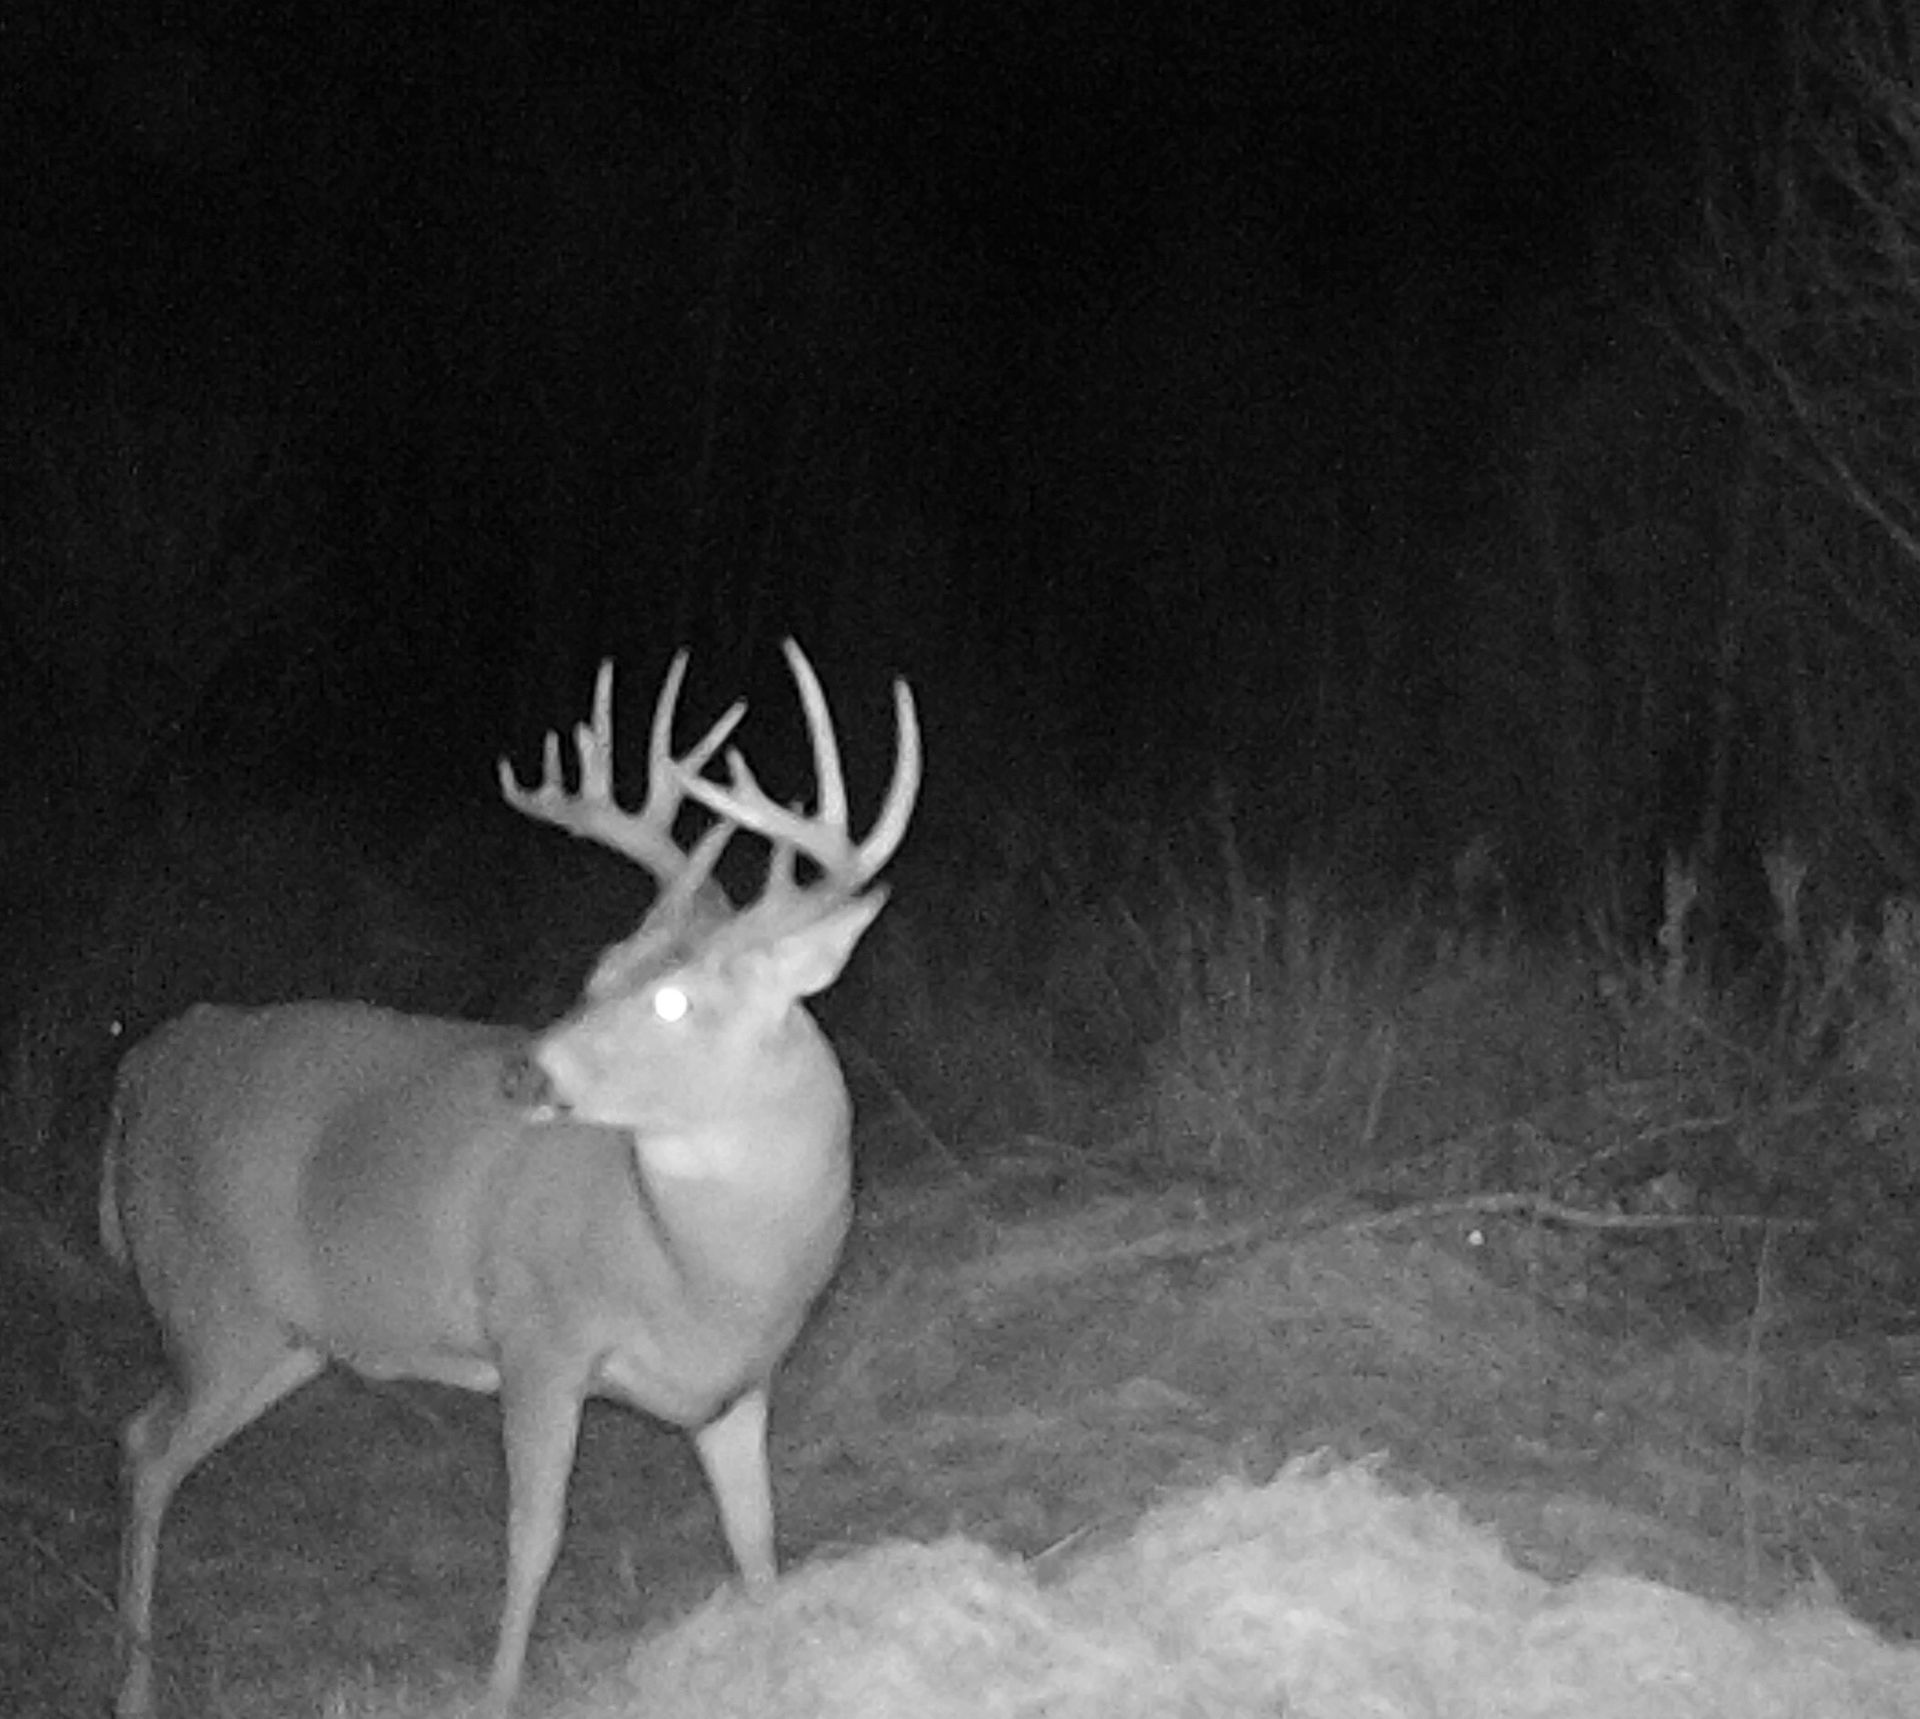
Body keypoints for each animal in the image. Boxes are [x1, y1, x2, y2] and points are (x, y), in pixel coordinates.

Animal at [99, 640, 920, 1718]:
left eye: (671, 999)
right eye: (599, 969)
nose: (523, 1071)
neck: (698, 1270)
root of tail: (144, 1065)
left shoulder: (735, 1388)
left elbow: (757, 1545)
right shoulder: (538, 1334)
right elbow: (534, 1539)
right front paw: (496, 1692)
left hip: (289, 1339)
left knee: (146, 1442)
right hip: (211, 1307)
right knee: (142, 1447)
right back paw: (131, 1683)